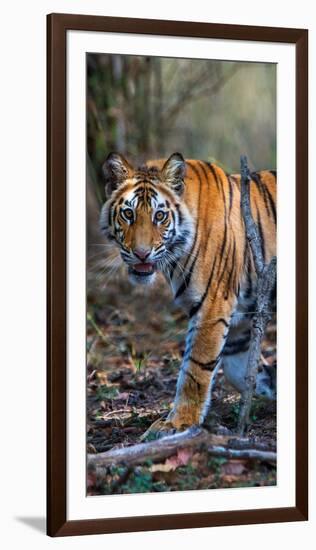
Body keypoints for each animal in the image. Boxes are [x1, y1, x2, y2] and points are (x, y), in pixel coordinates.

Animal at [99, 153, 276, 438]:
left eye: (160, 216)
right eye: (128, 214)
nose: (141, 254)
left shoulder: (213, 306)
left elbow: (195, 369)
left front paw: (177, 424)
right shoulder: (240, 319)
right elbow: (240, 371)